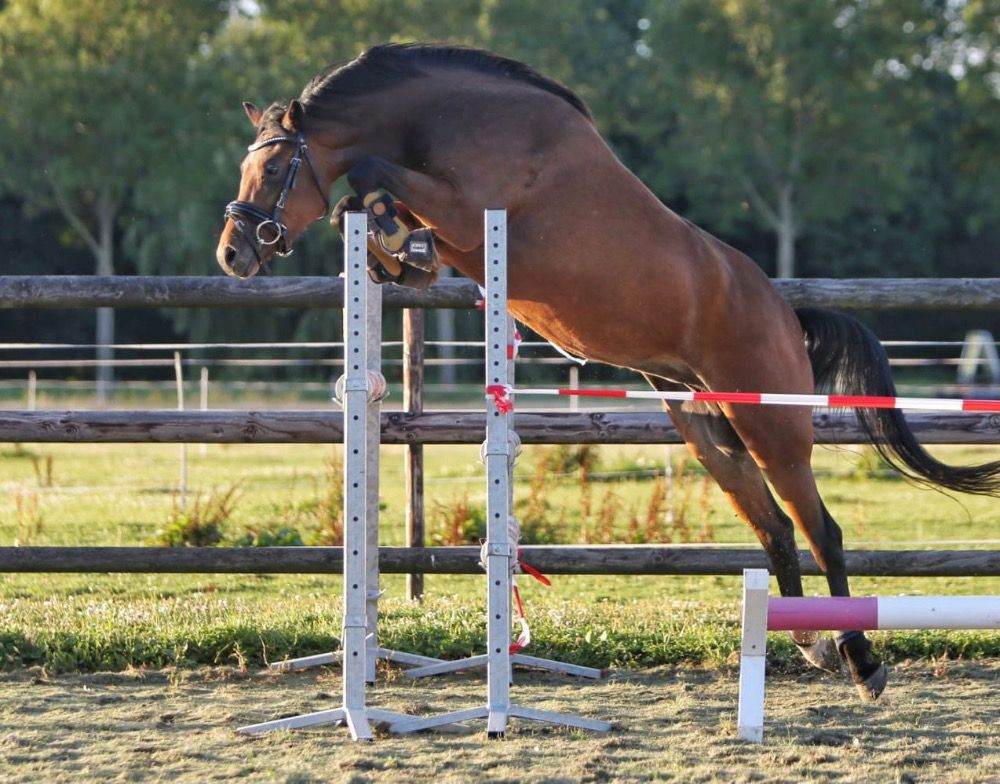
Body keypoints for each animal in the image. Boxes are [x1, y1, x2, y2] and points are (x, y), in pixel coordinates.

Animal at [216, 42, 1000, 702]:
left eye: (275, 169)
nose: (233, 254)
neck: (448, 119)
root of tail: (784, 312)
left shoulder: (471, 214)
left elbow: (372, 175)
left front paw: (390, 231)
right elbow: (368, 203)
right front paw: (394, 248)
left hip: (771, 425)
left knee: (821, 530)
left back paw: (862, 660)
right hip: (707, 427)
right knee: (776, 528)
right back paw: (813, 646)